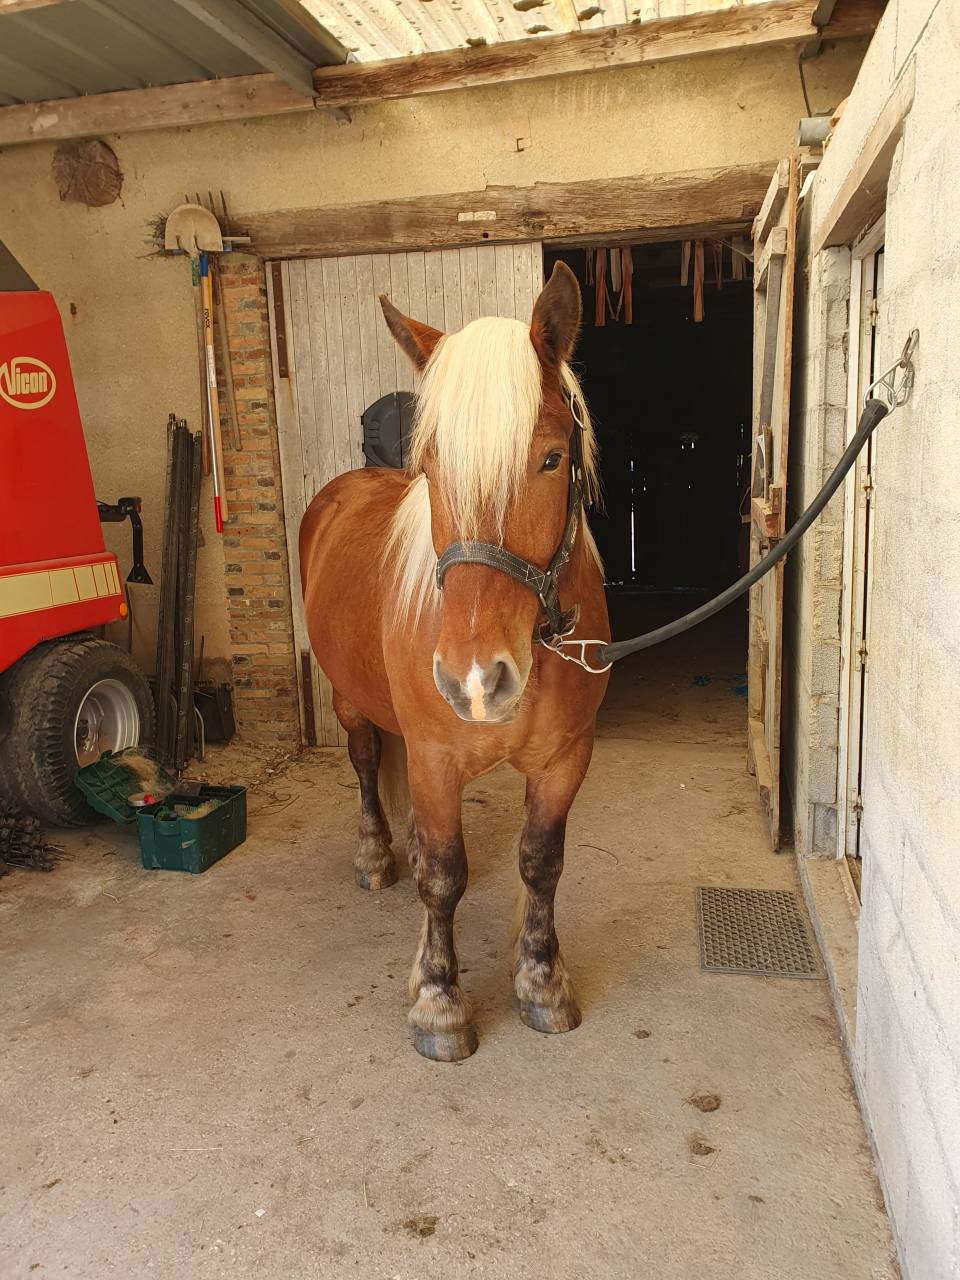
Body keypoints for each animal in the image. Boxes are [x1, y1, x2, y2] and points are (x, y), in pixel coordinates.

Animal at [299, 261, 610, 1061]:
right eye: (432, 466)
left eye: (551, 458)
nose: (475, 680)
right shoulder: (437, 760)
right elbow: (442, 879)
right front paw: (439, 1002)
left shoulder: (566, 758)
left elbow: (541, 863)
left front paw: (541, 981)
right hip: (351, 703)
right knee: (368, 765)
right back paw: (377, 856)